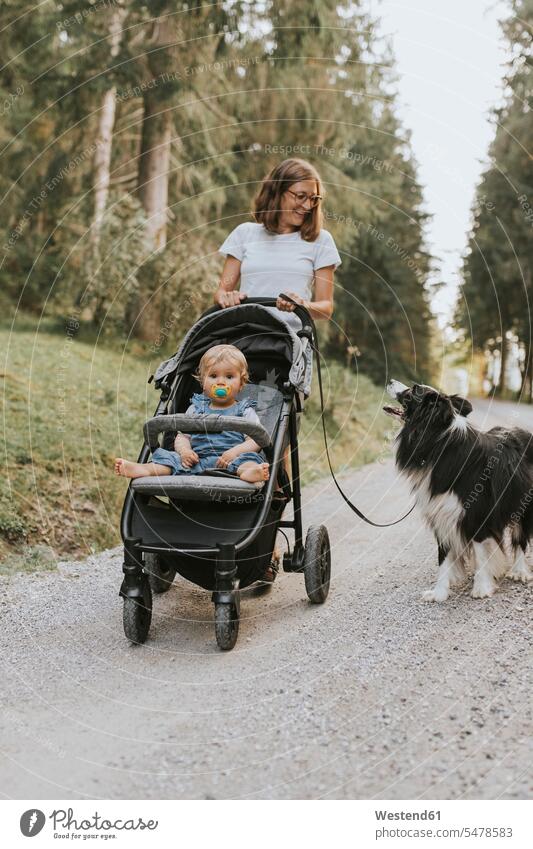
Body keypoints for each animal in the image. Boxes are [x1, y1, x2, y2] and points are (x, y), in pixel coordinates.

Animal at [384, 380, 532, 600]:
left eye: (413, 390)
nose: (391, 381)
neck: (436, 443)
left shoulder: (477, 513)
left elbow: (481, 551)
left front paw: (481, 588)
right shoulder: (441, 512)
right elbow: (443, 556)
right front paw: (439, 592)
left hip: (522, 502)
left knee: (520, 537)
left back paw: (519, 571)